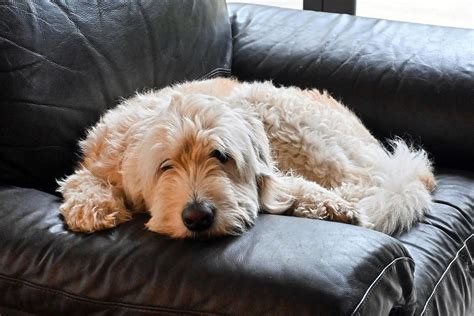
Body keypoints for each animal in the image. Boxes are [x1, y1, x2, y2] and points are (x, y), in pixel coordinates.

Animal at [57, 78, 436, 238]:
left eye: (221, 156)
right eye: (165, 166)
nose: (198, 217)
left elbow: (287, 185)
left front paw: (330, 205)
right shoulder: (99, 160)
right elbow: (81, 180)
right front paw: (93, 208)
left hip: (276, 110)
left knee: (363, 181)